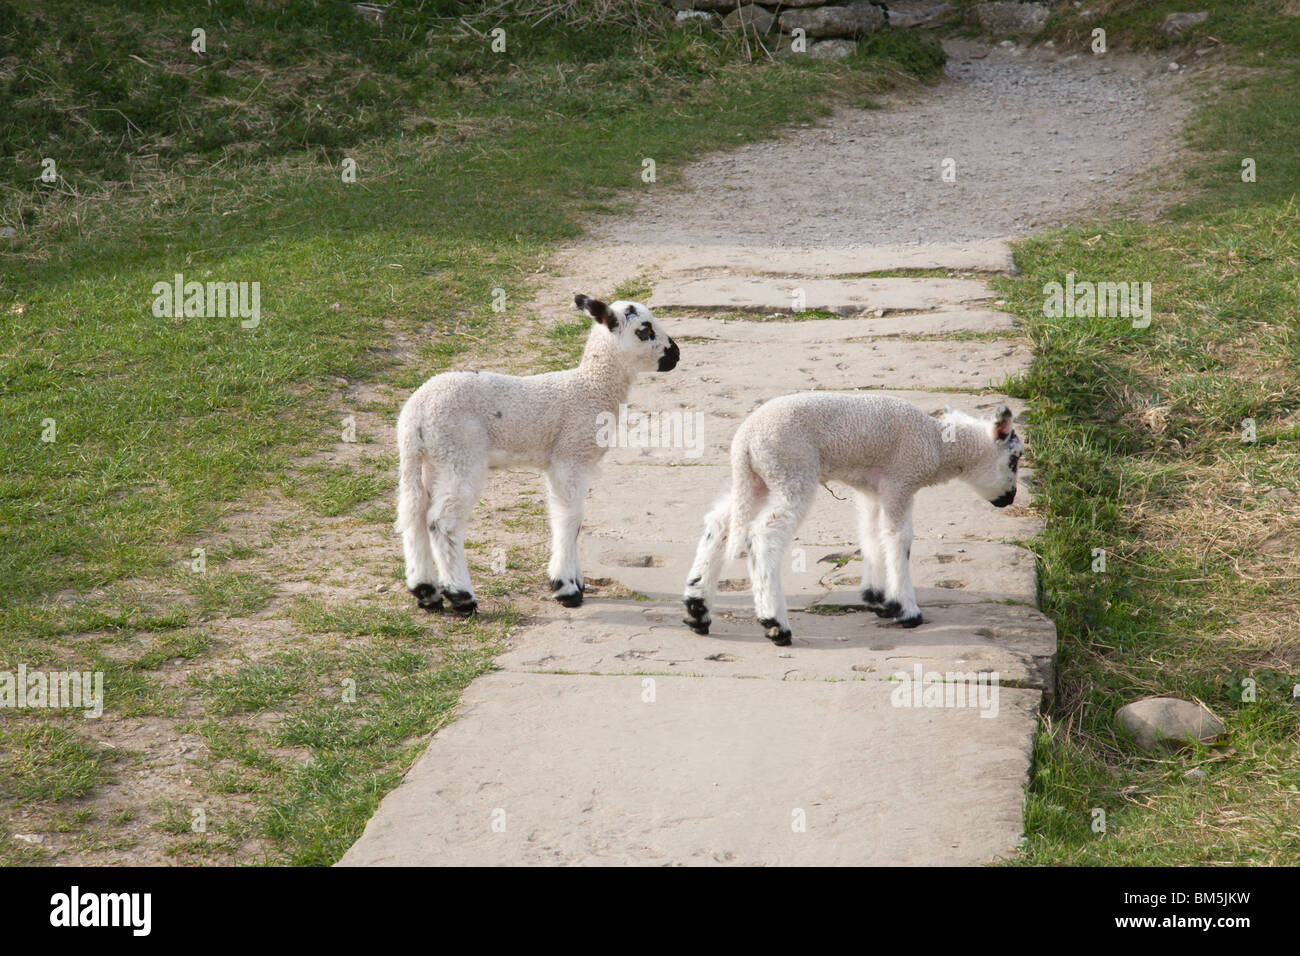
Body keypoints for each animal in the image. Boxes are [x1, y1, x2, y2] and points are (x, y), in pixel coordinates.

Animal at [681, 392, 1024, 647]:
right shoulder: (901, 479)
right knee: (765, 536)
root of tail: (744, 442)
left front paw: (877, 598)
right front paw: (907, 610)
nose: (1009, 499)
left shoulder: (874, 489)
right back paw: (775, 624)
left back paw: (697, 610)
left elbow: (871, 534)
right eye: (1015, 459)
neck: (938, 444)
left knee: (720, 524)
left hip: (759, 479)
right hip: (791, 469)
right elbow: (899, 538)